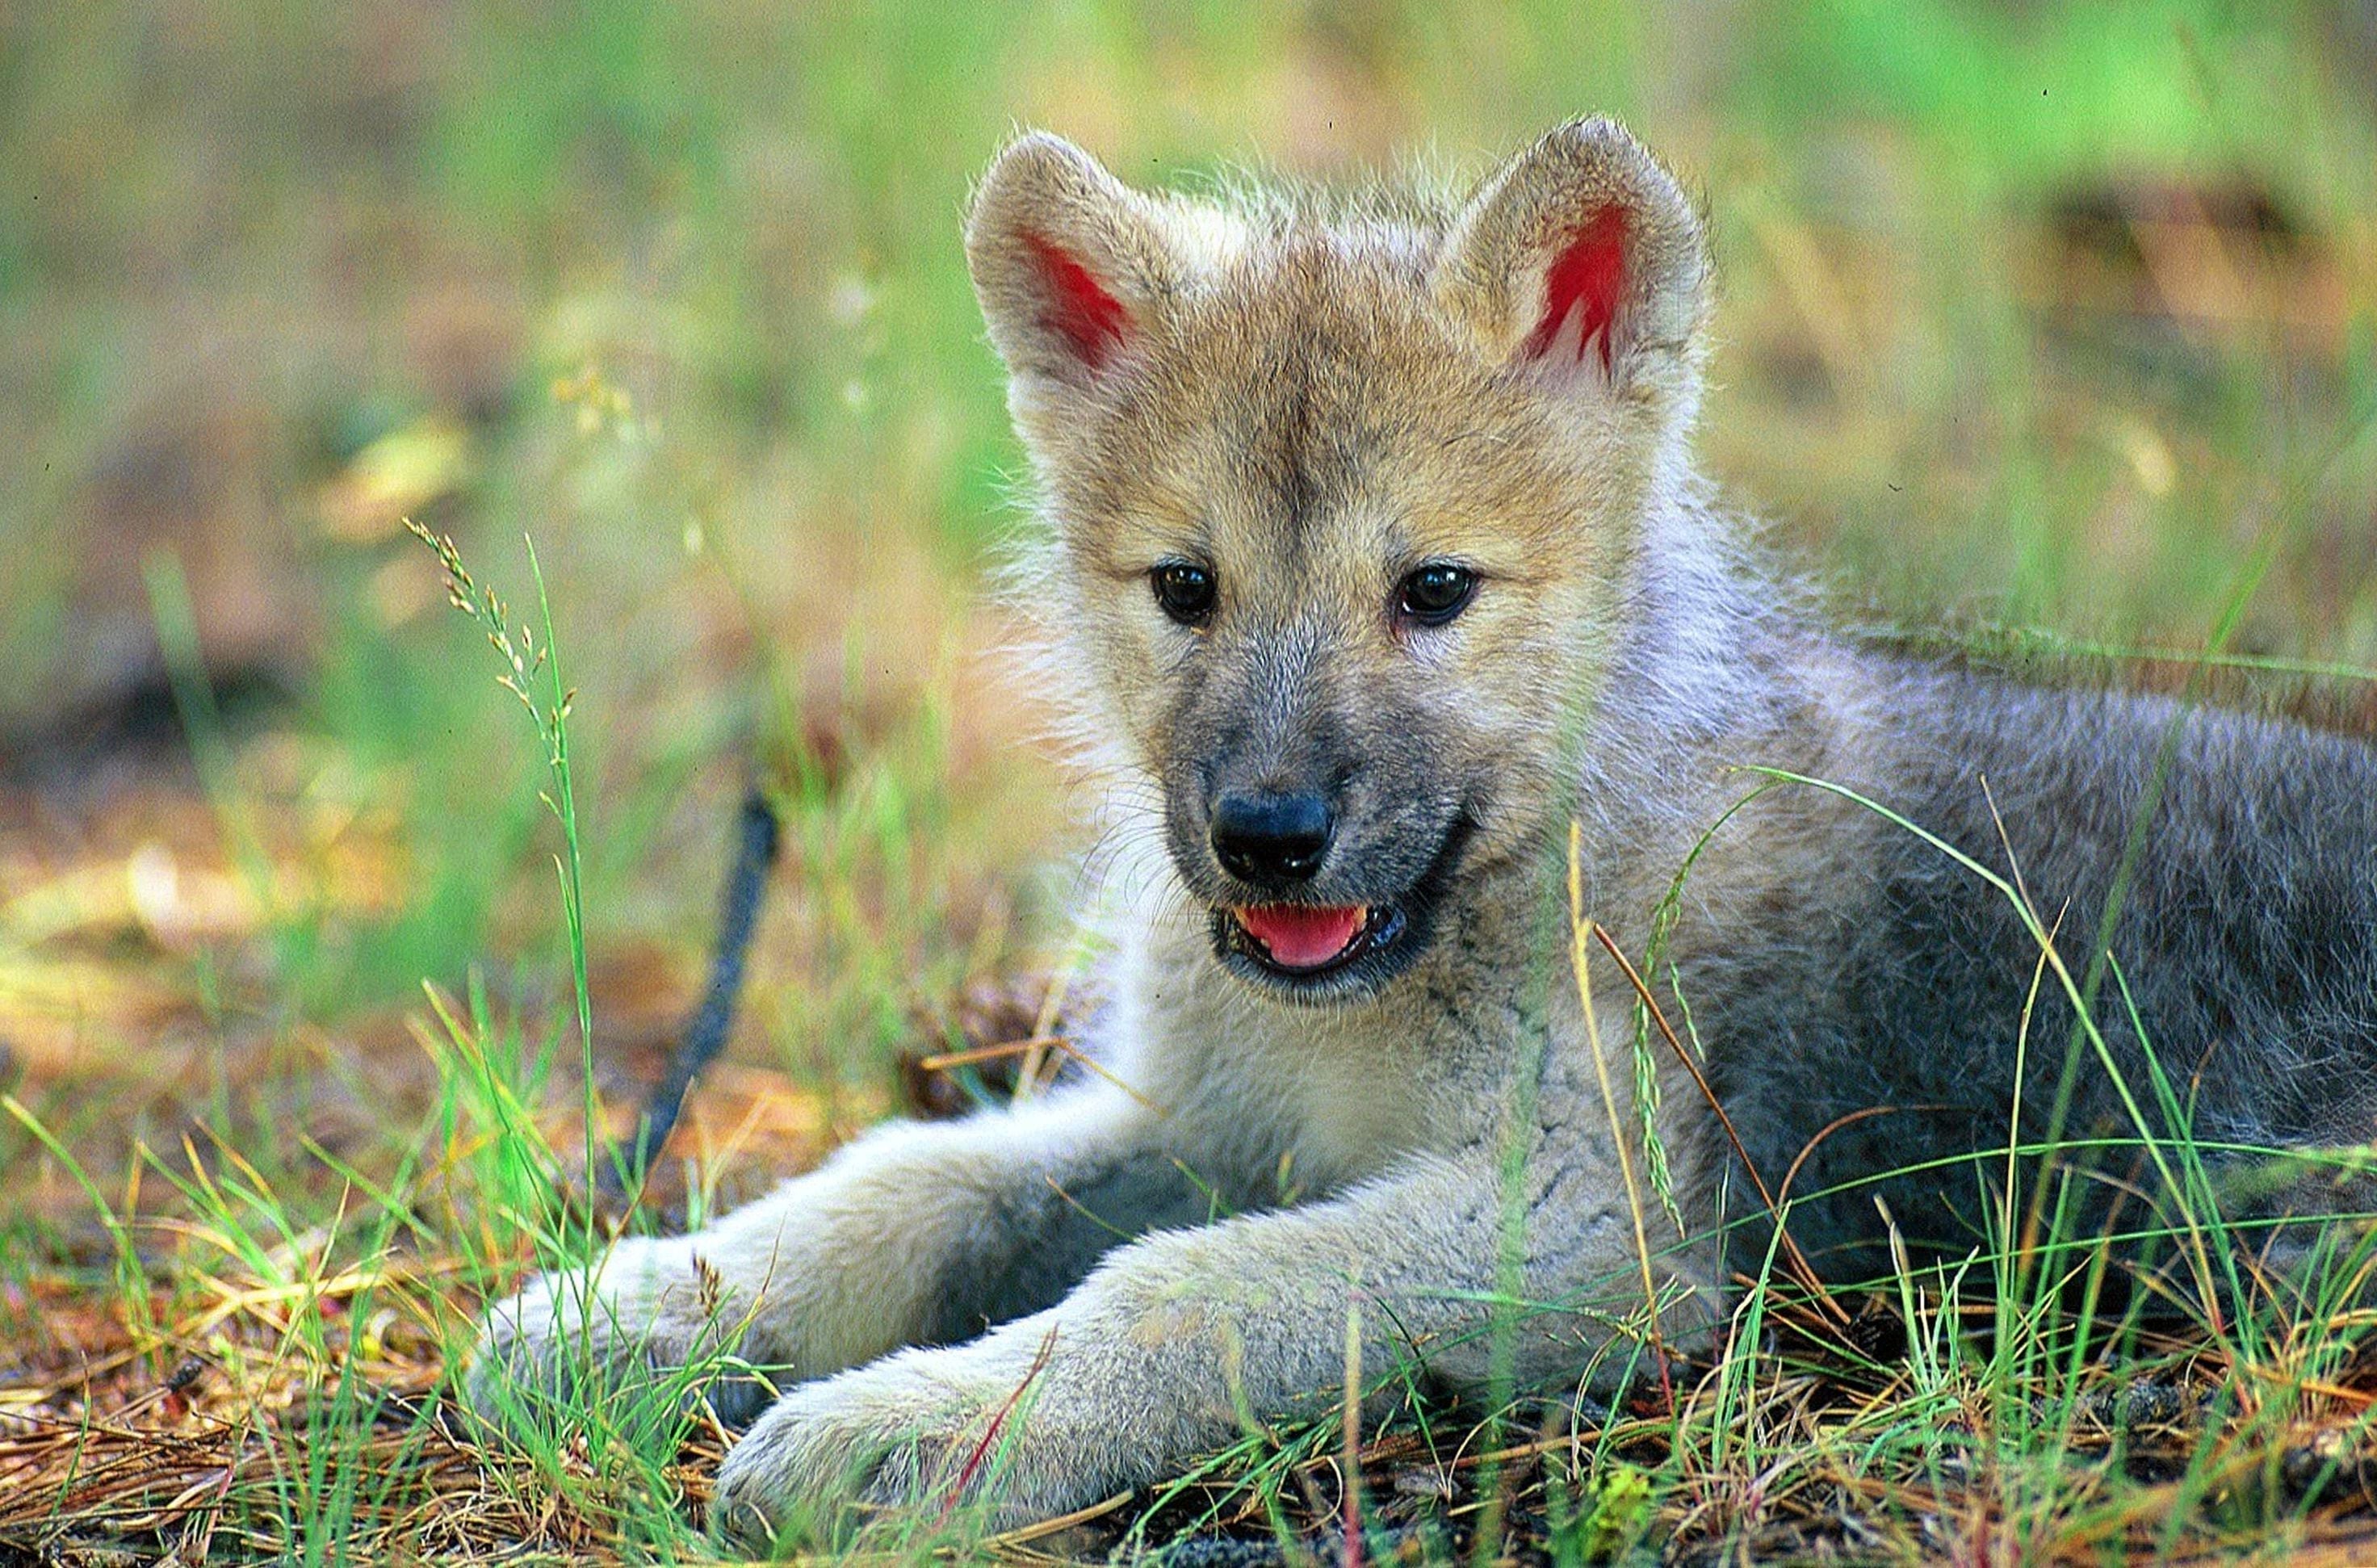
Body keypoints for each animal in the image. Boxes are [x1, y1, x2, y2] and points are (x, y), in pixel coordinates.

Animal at [468, 118, 2377, 1543]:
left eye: (1434, 591)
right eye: (1184, 588)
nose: (1266, 834)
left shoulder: (1593, 1224)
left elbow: (1173, 1290)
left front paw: (917, 1427)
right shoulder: (1205, 1115)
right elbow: (916, 1178)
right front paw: (651, 1304)